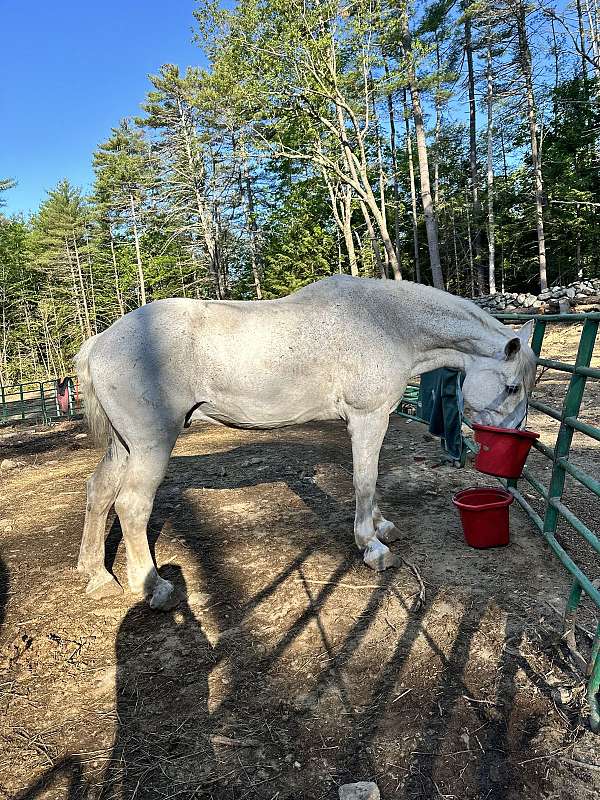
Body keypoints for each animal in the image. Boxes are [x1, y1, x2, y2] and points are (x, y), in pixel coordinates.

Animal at [74, 276, 536, 608]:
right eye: (512, 387)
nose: (512, 443)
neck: (385, 326)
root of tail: (100, 342)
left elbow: (370, 479)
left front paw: (382, 526)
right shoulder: (367, 419)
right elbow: (364, 481)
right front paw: (372, 547)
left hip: (124, 446)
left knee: (99, 492)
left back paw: (97, 576)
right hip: (151, 445)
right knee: (132, 505)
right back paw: (154, 588)